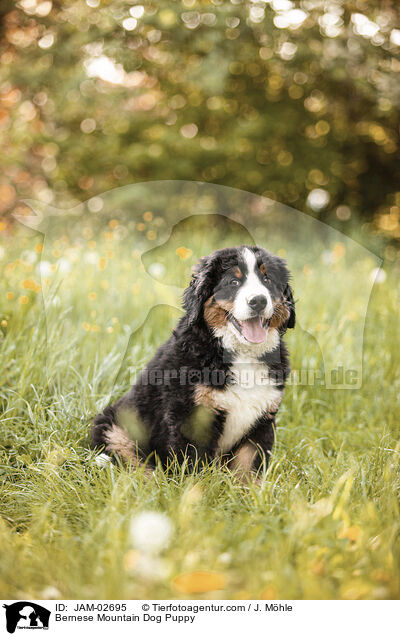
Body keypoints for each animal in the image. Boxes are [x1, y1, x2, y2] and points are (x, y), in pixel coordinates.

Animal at [92, 246, 296, 480]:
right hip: (115, 428)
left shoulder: (261, 419)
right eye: (233, 282)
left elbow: (249, 469)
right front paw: (197, 488)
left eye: (267, 279)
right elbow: (194, 465)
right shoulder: (191, 417)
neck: (241, 354)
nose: (258, 301)